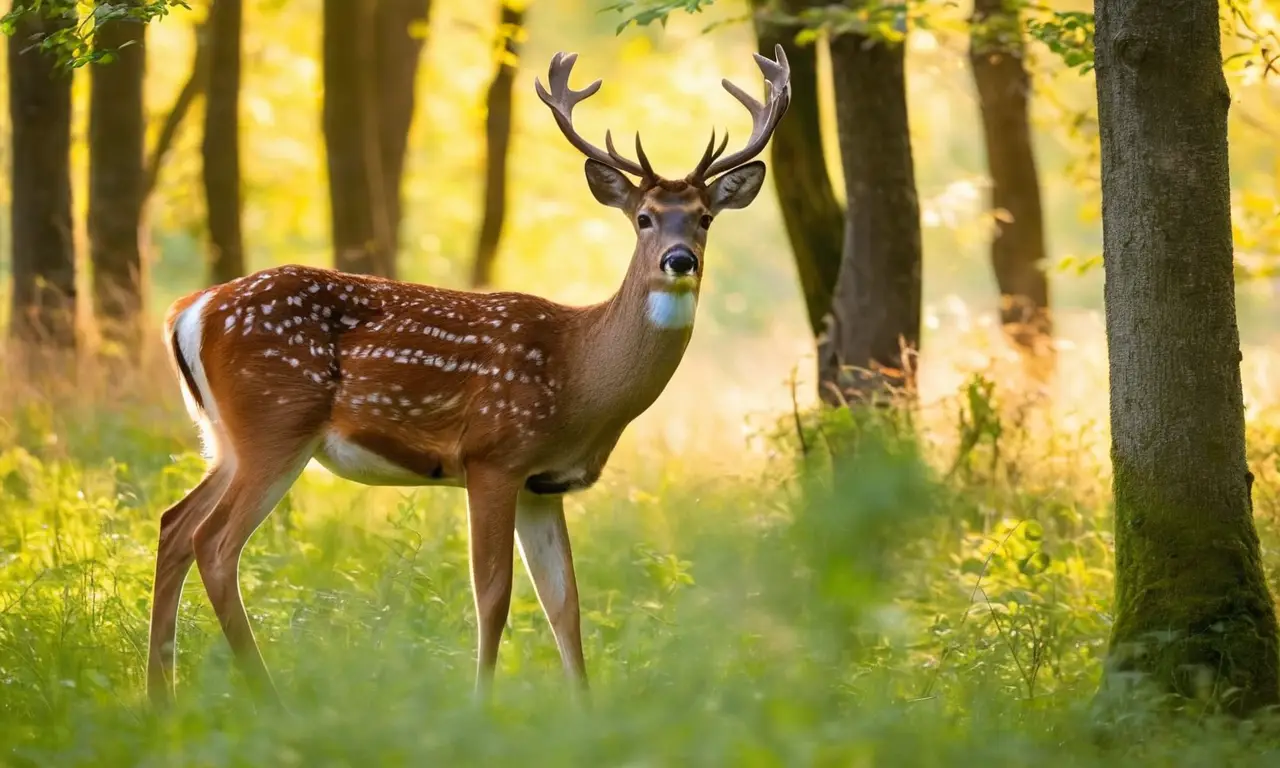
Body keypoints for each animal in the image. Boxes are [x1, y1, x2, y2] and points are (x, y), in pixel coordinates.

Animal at [146, 45, 790, 708]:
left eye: (705, 218)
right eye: (643, 217)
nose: (679, 260)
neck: (578, 377)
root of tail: (189, 309)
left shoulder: (543, 484)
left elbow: (565, 604)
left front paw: (584, 710)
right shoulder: (493, 455)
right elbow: (495, 596)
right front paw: (480, 704)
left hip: (226, 437)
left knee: (174, 524)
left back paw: (159, 695)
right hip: (275, 421)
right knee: (214, 543)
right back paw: (265, 695)